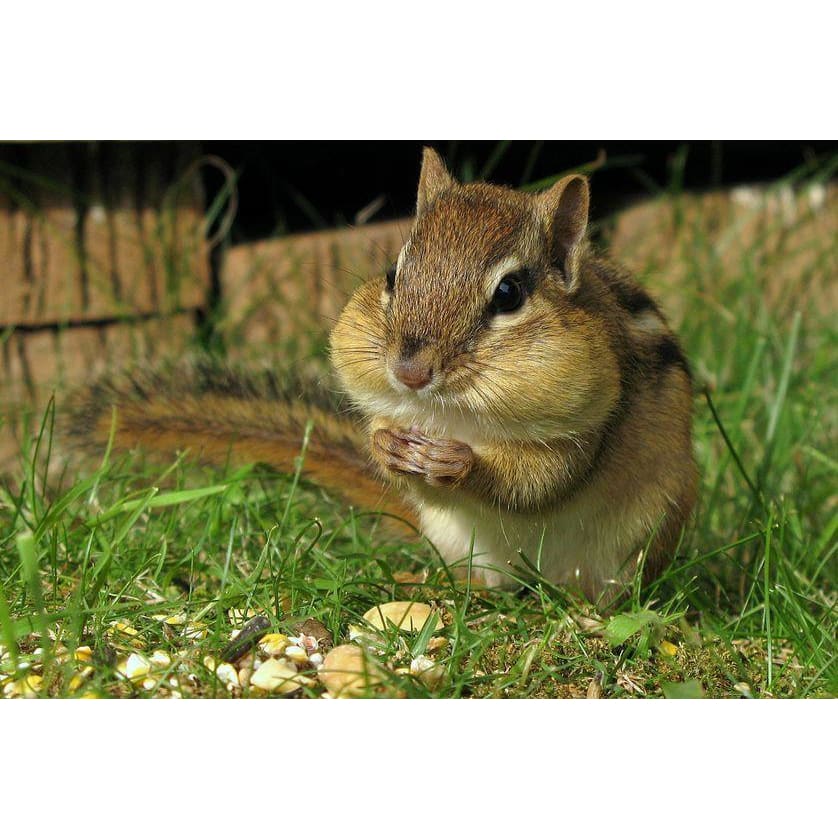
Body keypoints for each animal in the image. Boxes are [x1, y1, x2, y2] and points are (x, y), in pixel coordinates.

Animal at [67, 148, 698, 604]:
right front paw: (387, 447)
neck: (454, 414)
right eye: (393, 274)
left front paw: (460, 463)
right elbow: (384, 442)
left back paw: (588, 613)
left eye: (510, 293)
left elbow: (540, 481)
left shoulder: (580, 430)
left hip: (640, 542)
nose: (410, 371)